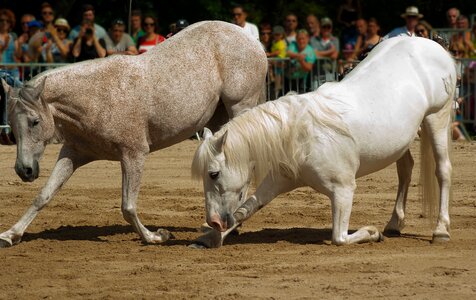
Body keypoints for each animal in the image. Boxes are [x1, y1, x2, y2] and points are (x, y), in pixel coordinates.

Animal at [0, 19, 268, 247]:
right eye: (11, 125)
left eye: (34, 122)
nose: (24, 170)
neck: (97, 98)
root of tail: (253, 41)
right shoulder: (74, 153)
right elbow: (44, 195)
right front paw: (10, 234)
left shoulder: (134, 154)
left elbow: (128, 207)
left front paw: (156, 236)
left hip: (239, 107)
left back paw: (229, 225)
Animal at [192, 37, 456, 248]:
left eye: (214, 174)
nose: (212, 220)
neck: (298, 136)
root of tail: (433, 45)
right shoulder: (278, 181)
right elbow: (245, 210)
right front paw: (209, 238)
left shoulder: (343, 190)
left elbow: (339, 237)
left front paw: (372, 233)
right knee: (405, 170)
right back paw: (394, 224)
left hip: (437, 118)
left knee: (442, 170)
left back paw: (441, 230)